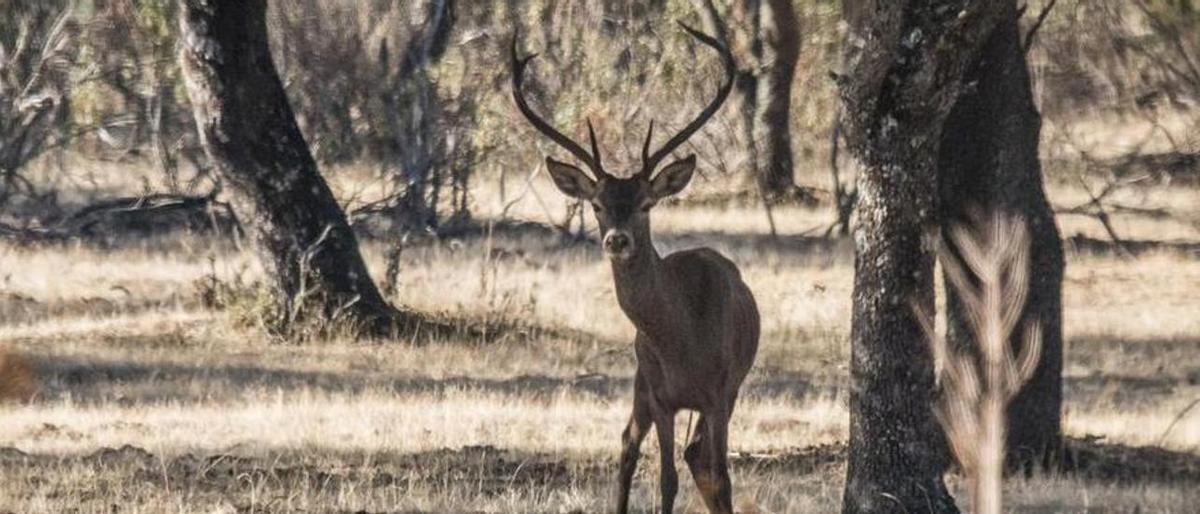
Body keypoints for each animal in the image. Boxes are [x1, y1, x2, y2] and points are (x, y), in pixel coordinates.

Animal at [512, 22, 759, 514]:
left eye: (646, 203)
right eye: (597, 204)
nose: (617, 239)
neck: (683, 340)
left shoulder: (720, 391)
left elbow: (721, 476)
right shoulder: (661, 395)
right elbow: (666, 479)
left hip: (724, 390)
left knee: (696, 456)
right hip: (640, 381)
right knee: (628, 444)